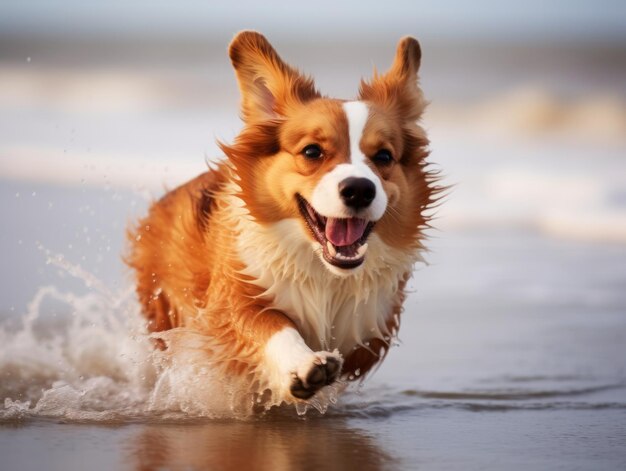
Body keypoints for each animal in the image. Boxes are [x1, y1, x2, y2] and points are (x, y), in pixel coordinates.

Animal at [128, 31, 434, 408]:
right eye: (312, 152)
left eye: (384, 157)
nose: (359, 190)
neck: (324, 272)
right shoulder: (231, 298)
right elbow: (271, 323)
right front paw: (302, 365)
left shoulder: (368, 328)